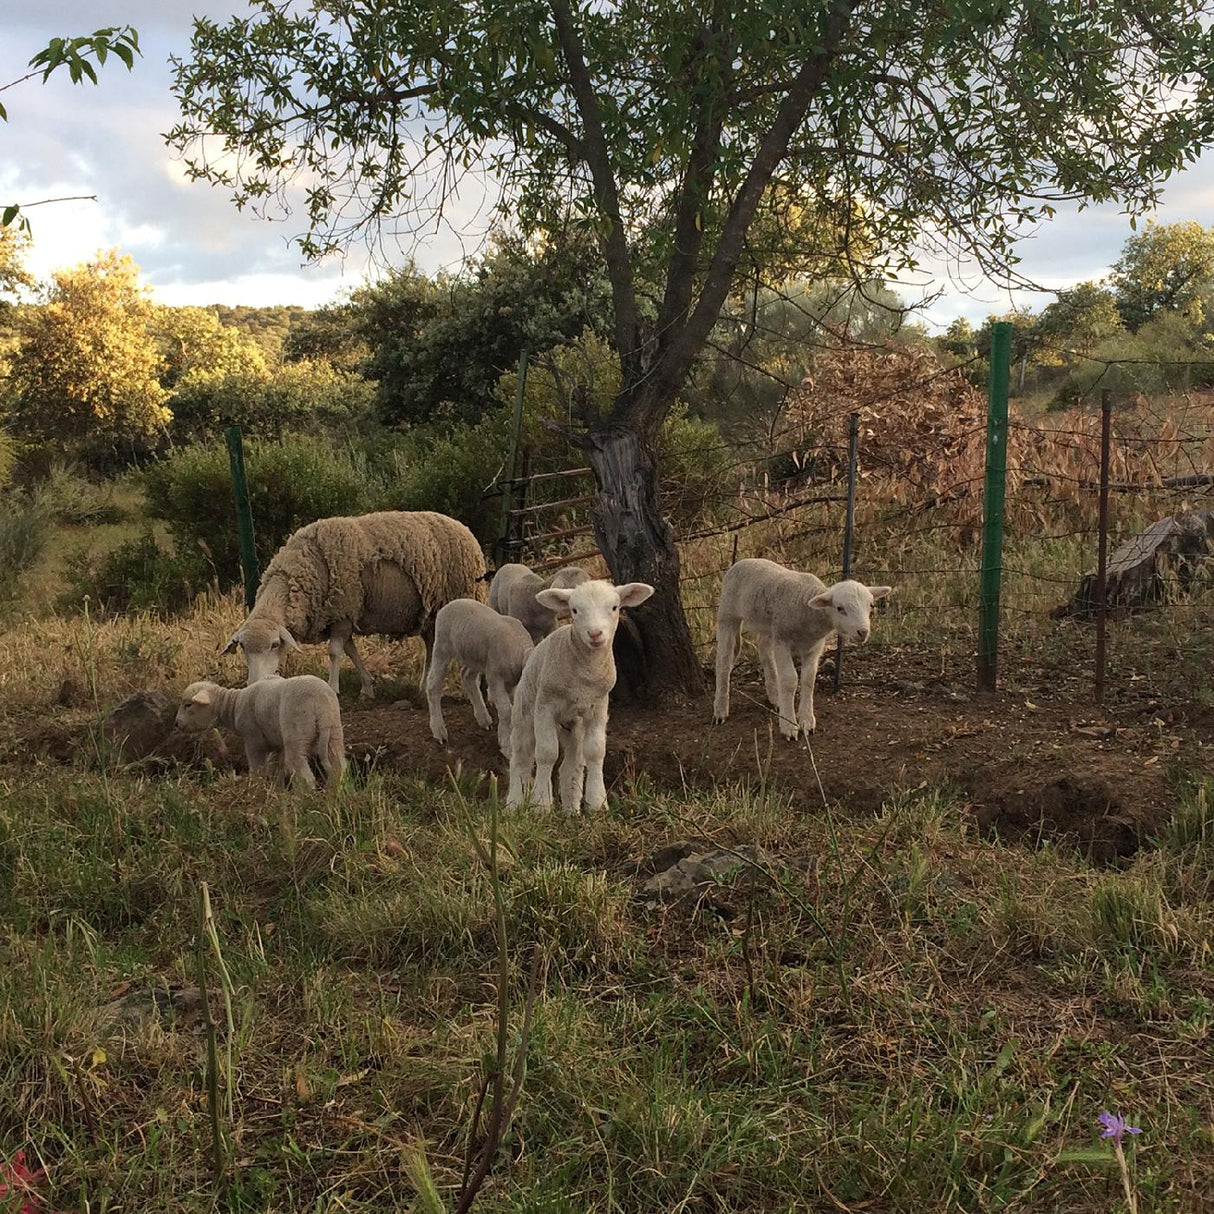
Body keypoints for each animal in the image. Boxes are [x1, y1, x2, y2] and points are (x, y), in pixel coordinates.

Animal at [171, 674, 344, 786]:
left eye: (188, 705)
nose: (177, 723)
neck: (233, 704)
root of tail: (321, 703)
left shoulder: (253, 739)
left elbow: (258, 769)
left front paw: (256, 788)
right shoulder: (276, 744)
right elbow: (275, 770)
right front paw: (276, 790)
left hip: (297, 732)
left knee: (304, 773)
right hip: (334, 731)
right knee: (338, 766)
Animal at [223, 512, 483, 704]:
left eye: (275, 645)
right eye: (243, 647)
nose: (255, 685)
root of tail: (465, 529)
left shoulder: (343, 613)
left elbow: (334, 652)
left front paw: (333, 688)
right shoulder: (341, 619)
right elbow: (352, 652)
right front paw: (367, 687)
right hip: (431, 615)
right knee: (431, 646)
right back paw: (423, 686)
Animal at [432, 594, 536, 752]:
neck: (520, 650)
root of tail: (452, 603)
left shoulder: (513, 682)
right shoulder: (495, 677)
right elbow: (506, 710)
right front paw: (506, 745)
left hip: (474, 656)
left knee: (466, 676)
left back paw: (483, 718)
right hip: (442, 645)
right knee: (433, 685)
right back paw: (439, 730)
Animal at [505, 580, 655, 815]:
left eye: (614, 607)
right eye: (574, 610)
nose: (595, 634)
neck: (584, 676)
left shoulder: (598, 707)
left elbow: (595, 752)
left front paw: (597, 803)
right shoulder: (545, 706)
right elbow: (546, 753)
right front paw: (541, 805)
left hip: (574, 724)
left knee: (572, 763)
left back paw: (571, 810)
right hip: (524, 710)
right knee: (521, 757)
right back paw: (514, 804)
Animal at [708, 558, 893, 738]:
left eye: (871, 606)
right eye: (840, 608)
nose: (863, 632)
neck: (807, 610)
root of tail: (741, 561)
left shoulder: (814, 647)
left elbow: (808, 679)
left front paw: (807, 721)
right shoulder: (782, 641)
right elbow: (790, 680)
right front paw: (789, 725)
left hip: (767, 626)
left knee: (764, 651)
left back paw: (775, 697)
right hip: (727, 614)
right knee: (724, 660)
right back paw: (720, 709)